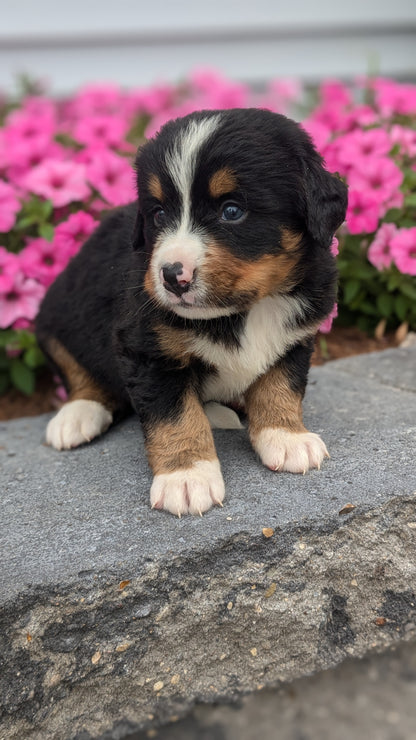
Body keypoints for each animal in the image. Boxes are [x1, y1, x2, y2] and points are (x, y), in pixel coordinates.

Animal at [35, 108, 348, 516]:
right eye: (157, 213)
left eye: (232, 211)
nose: (171, 275)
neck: (243, 311)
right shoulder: (147, 350)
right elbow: (176, 415)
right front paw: (186, 476)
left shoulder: (296, 335)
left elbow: (281, 384)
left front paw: (286, 436)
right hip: (56, 314)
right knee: (77, 370)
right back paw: (77, 416)